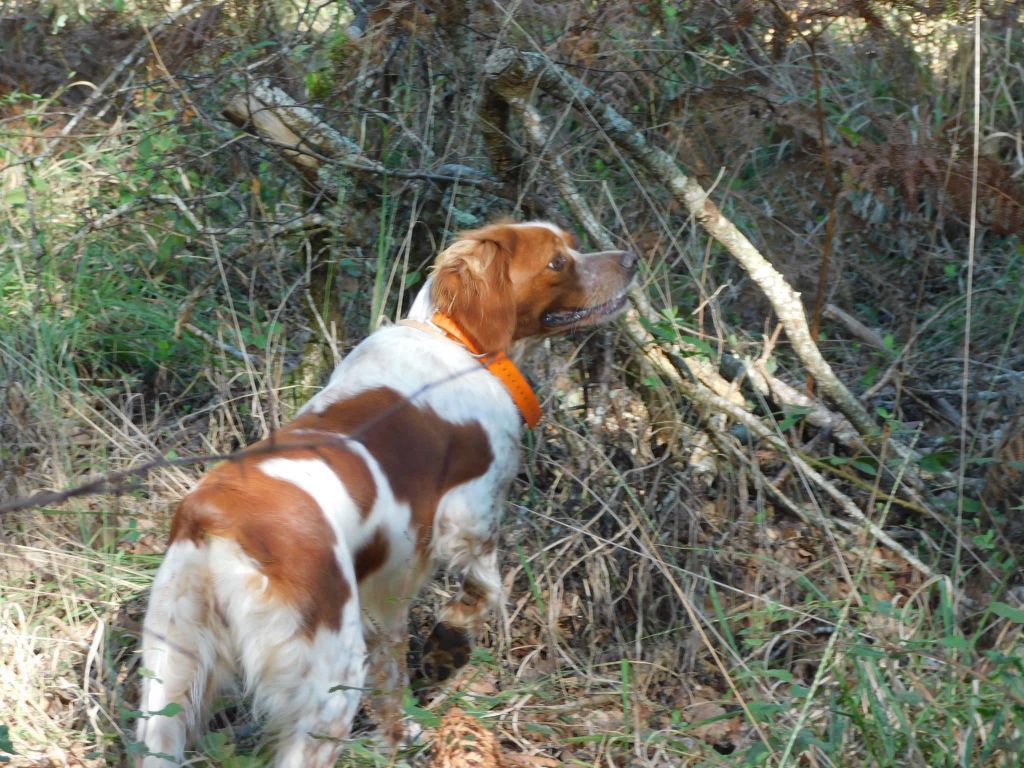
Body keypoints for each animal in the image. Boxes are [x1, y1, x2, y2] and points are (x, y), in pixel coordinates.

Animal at [136, 219, 630, 765]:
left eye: (572, 245)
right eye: (556, 262)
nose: (629, 259)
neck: (458, 343)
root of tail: (214, 522)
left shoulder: (387, 585)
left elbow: (391, 667)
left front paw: (399, 732)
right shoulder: (470, 514)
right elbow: (485, 590)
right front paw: (448, 644)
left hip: (170, 671)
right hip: (329, 681)